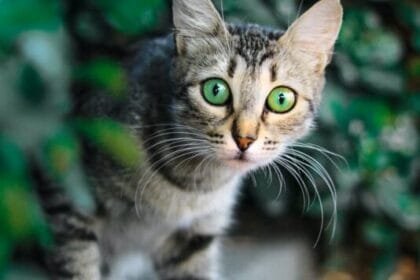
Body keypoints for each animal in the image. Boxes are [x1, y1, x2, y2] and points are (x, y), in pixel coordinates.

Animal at [40, 0, 342, 278]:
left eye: (281, 99)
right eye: (215, 90)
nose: (244, 139)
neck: (193, 187)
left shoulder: (195, 238)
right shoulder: (68, 199)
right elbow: (76, 266)